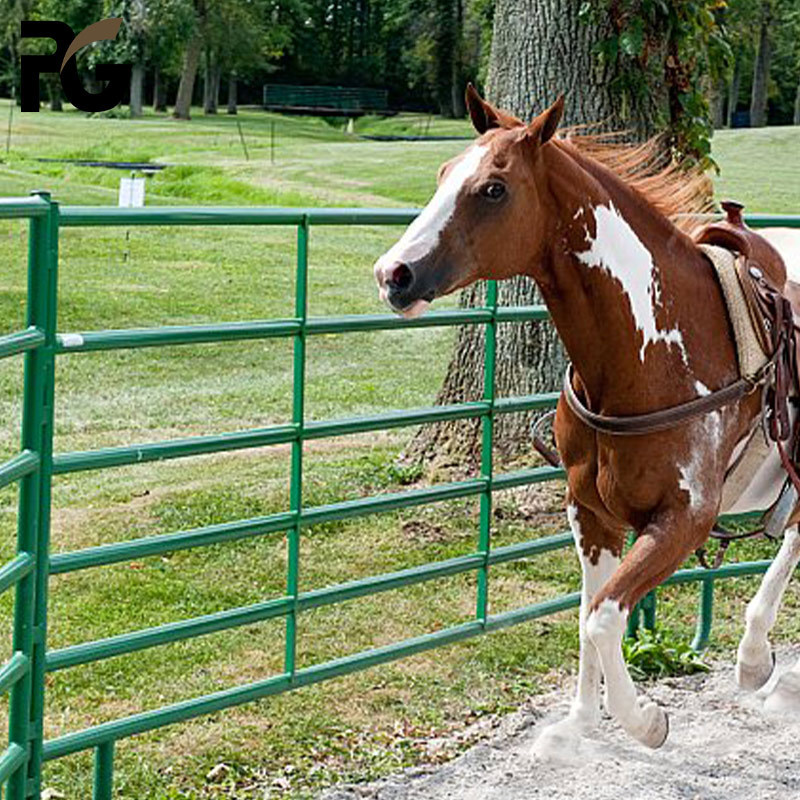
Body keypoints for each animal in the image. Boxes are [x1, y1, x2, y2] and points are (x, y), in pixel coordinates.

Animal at [372, 84, 800, 752]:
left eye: (493, 188)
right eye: (444, 173)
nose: (394, 274)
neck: (653, 348)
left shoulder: (683, 520)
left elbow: (604, 619)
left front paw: (645, 720)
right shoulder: (589, 510)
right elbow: (584, 614)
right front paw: (577, 727)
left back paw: (759, 663)